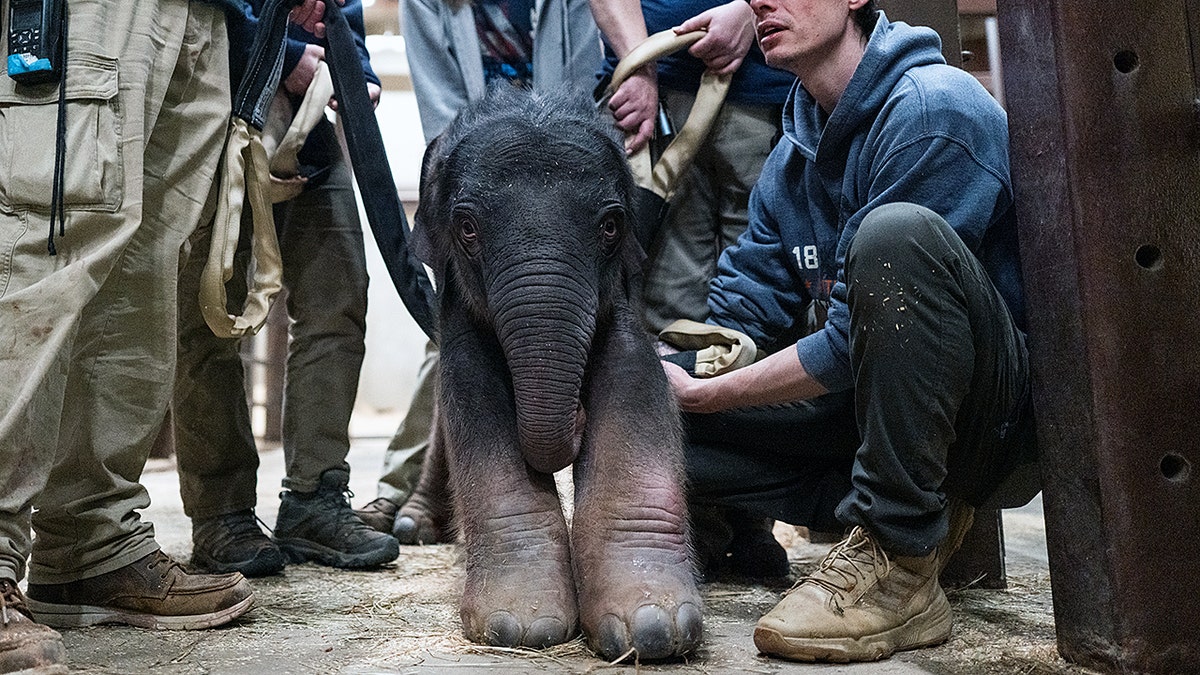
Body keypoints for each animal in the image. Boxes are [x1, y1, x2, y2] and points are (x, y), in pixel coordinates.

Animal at [404, 85, 703, 661]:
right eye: (467, 228)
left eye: (610, 226)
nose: (577, 417)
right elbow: (472, 395)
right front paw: (520, 626)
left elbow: (635, 382)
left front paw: (654, 626)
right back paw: (411, 523)